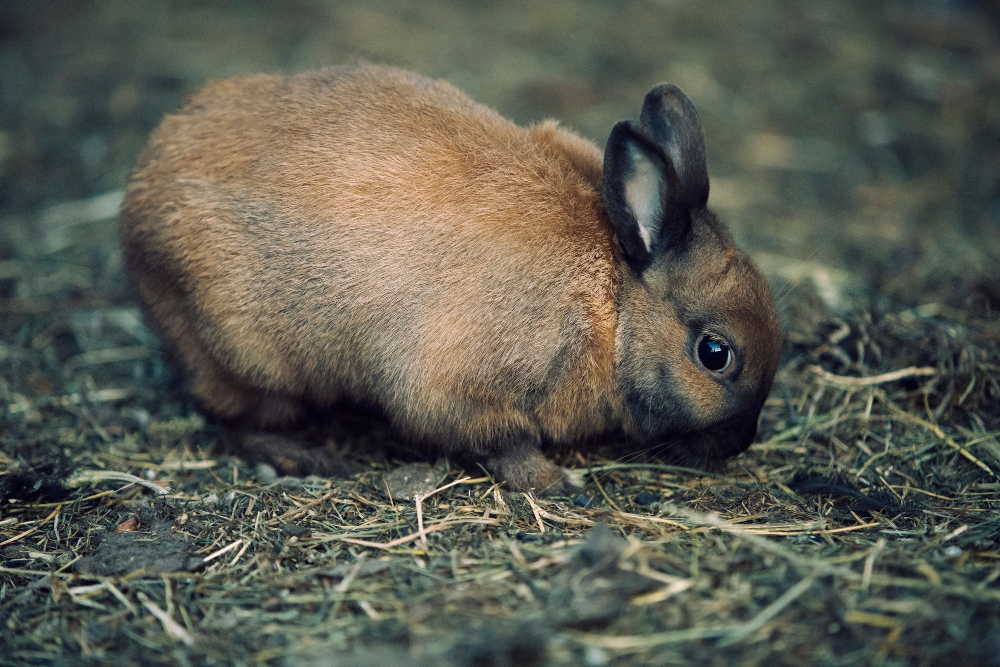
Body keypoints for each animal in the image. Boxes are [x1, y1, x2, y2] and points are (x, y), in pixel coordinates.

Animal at [121, 64, 784, 490]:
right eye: (715, 354)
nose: (741, 442)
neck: (612, 304)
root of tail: (138, 200)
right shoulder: (460, 391)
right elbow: (501, 443)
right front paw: (553, 480)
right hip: (247, 354)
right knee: (231, 418)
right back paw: (305, 458)